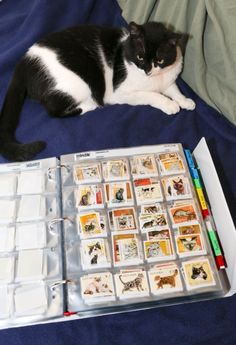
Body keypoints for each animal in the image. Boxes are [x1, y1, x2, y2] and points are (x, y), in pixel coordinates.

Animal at [0, 21, 195, 161]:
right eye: (140, 57)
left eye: (159, 60)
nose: (147, 71)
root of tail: (24, 62)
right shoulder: (119, 92)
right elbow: (151, 95)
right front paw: (169, 105)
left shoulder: (169, 78)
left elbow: (174, 88)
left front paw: (185, 101)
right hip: (79, 83)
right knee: (54, 110)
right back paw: (90, 105)